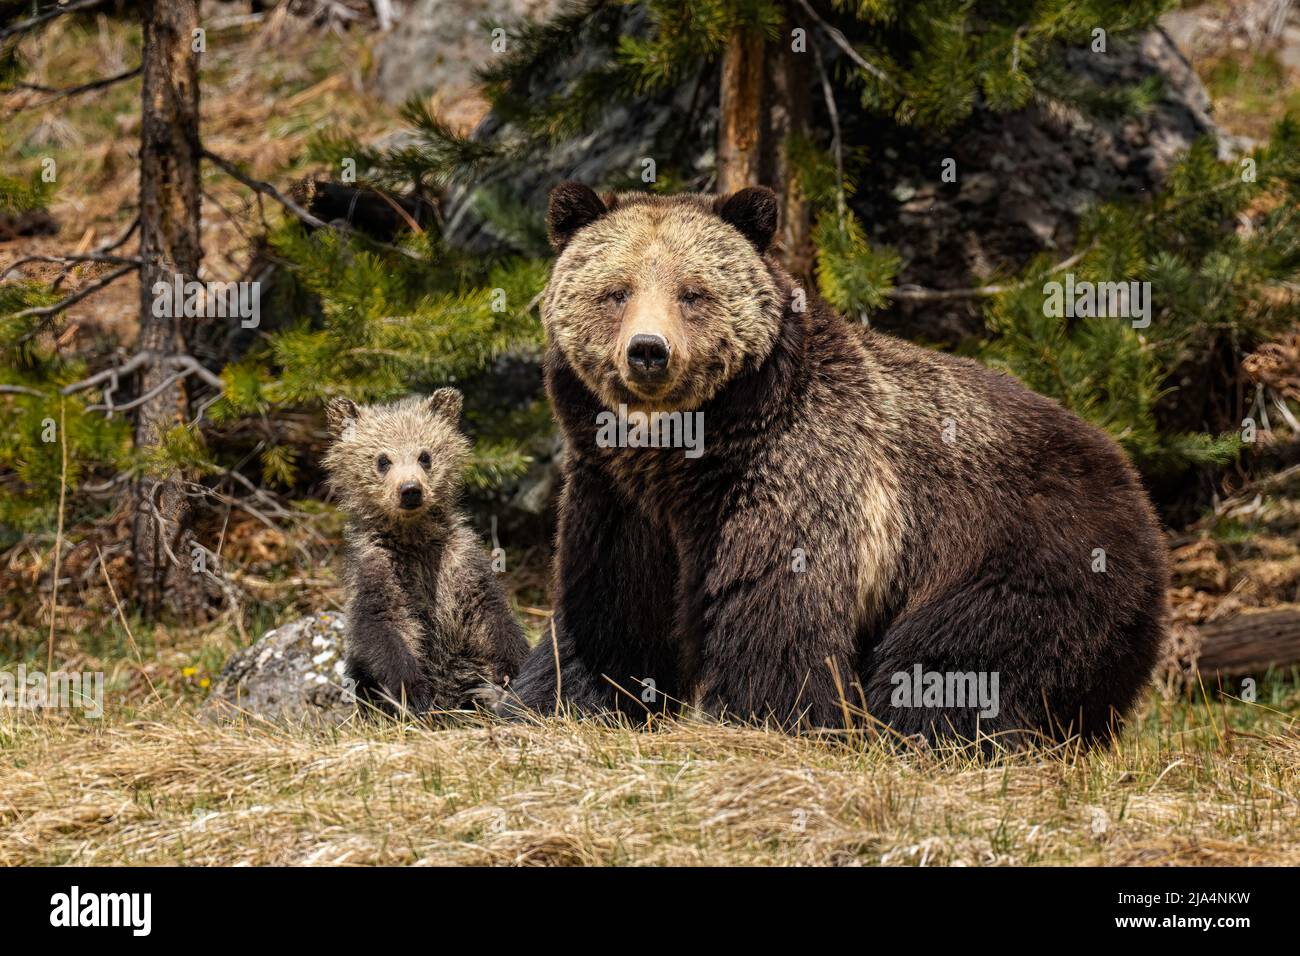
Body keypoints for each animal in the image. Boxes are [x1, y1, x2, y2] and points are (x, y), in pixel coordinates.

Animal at [323, 390, 528, 716]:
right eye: (383, 459)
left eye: (425, 455)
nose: (410, 490)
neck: (414, 540)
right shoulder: (377, 568)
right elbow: (384, 626)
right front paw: (416, 693)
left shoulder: (458, 560)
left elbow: (489, 612)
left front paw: (513, 668)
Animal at [501, 181, 1169, 747]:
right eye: (616, 292)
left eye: (694, 293)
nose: (648, 352)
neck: (683, 460)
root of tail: (1136, 488)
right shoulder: (619, 497)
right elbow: (608, 613)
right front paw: (559, 703)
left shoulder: (797, 477)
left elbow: (775, 619)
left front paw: (766, 721)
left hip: (1025, 550)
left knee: (954, 660)